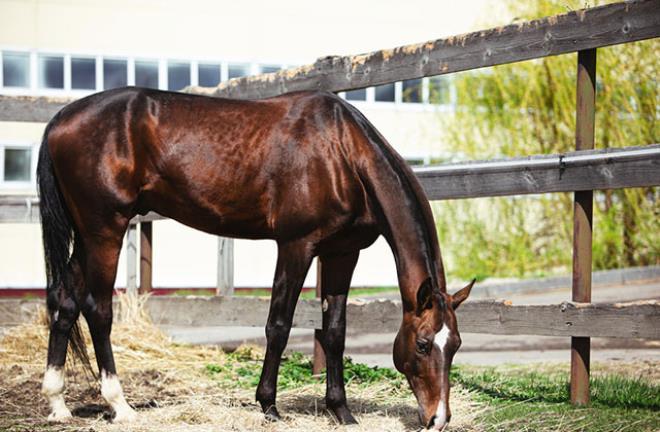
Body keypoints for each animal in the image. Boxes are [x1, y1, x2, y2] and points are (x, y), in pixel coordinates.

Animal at [37, 86, 474, 430]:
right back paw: (120, 405)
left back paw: (57, 403)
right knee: (98, 309)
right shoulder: (296, 246)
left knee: (65, 300)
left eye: (454, 345)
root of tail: (59, 119)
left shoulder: (342, 252)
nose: (438, 419)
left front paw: (341, 411)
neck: (342, 153)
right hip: (104, 231)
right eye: (422, 344)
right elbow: (279, 325)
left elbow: (335, 331)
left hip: (88, 236)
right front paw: (268, 405)